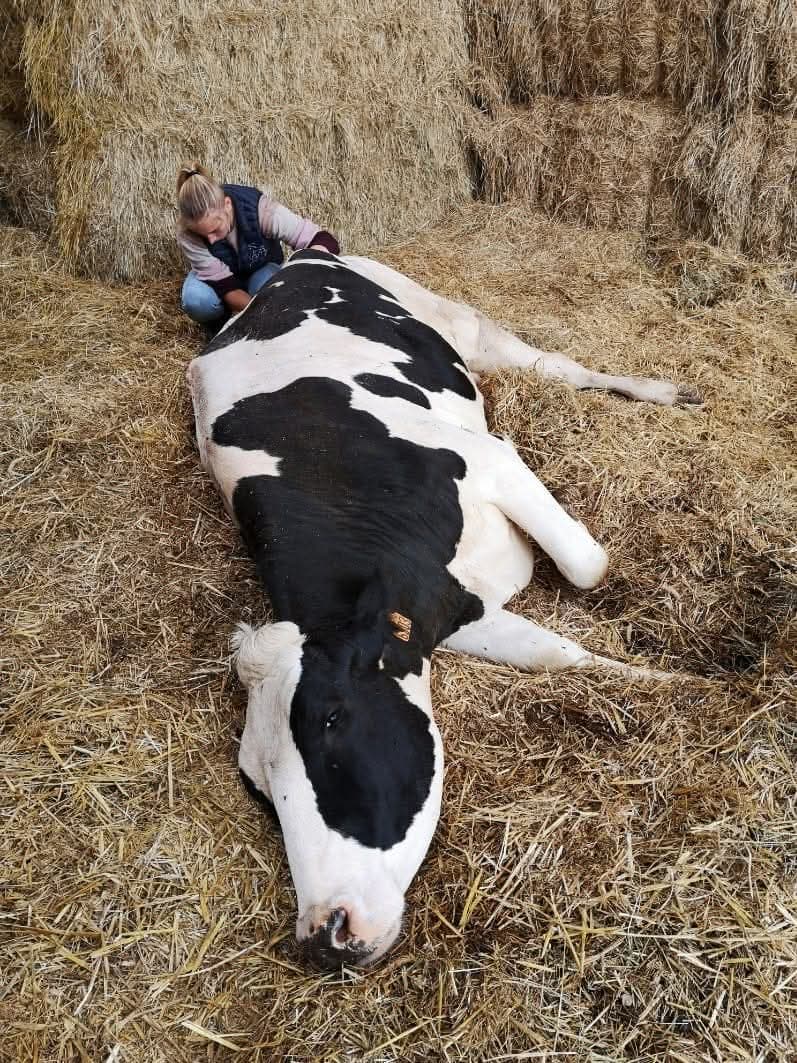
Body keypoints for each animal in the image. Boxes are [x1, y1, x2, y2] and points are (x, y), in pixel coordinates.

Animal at [186, 249, 699, 970]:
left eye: (331, 717)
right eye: (255, 785)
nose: (324, 933)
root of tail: (301, 259)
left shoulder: (492, 461)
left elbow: (587, 567)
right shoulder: (450, 610)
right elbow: (555, 653)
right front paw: (670, 684)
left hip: (454, 320)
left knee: (553, 367)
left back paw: (661, 391)